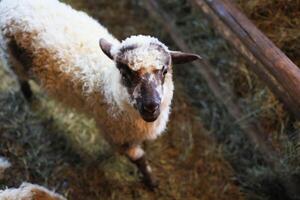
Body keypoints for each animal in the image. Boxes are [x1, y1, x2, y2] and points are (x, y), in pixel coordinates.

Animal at [0, 0, 202, 189]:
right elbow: (139, 159)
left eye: (164, 70)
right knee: (21, 79)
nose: (151, 106)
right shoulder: (117, 135)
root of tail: (13, 4)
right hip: (12, 59)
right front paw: (152, 182)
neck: (108, 85)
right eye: (125, 74)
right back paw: (29, 96)